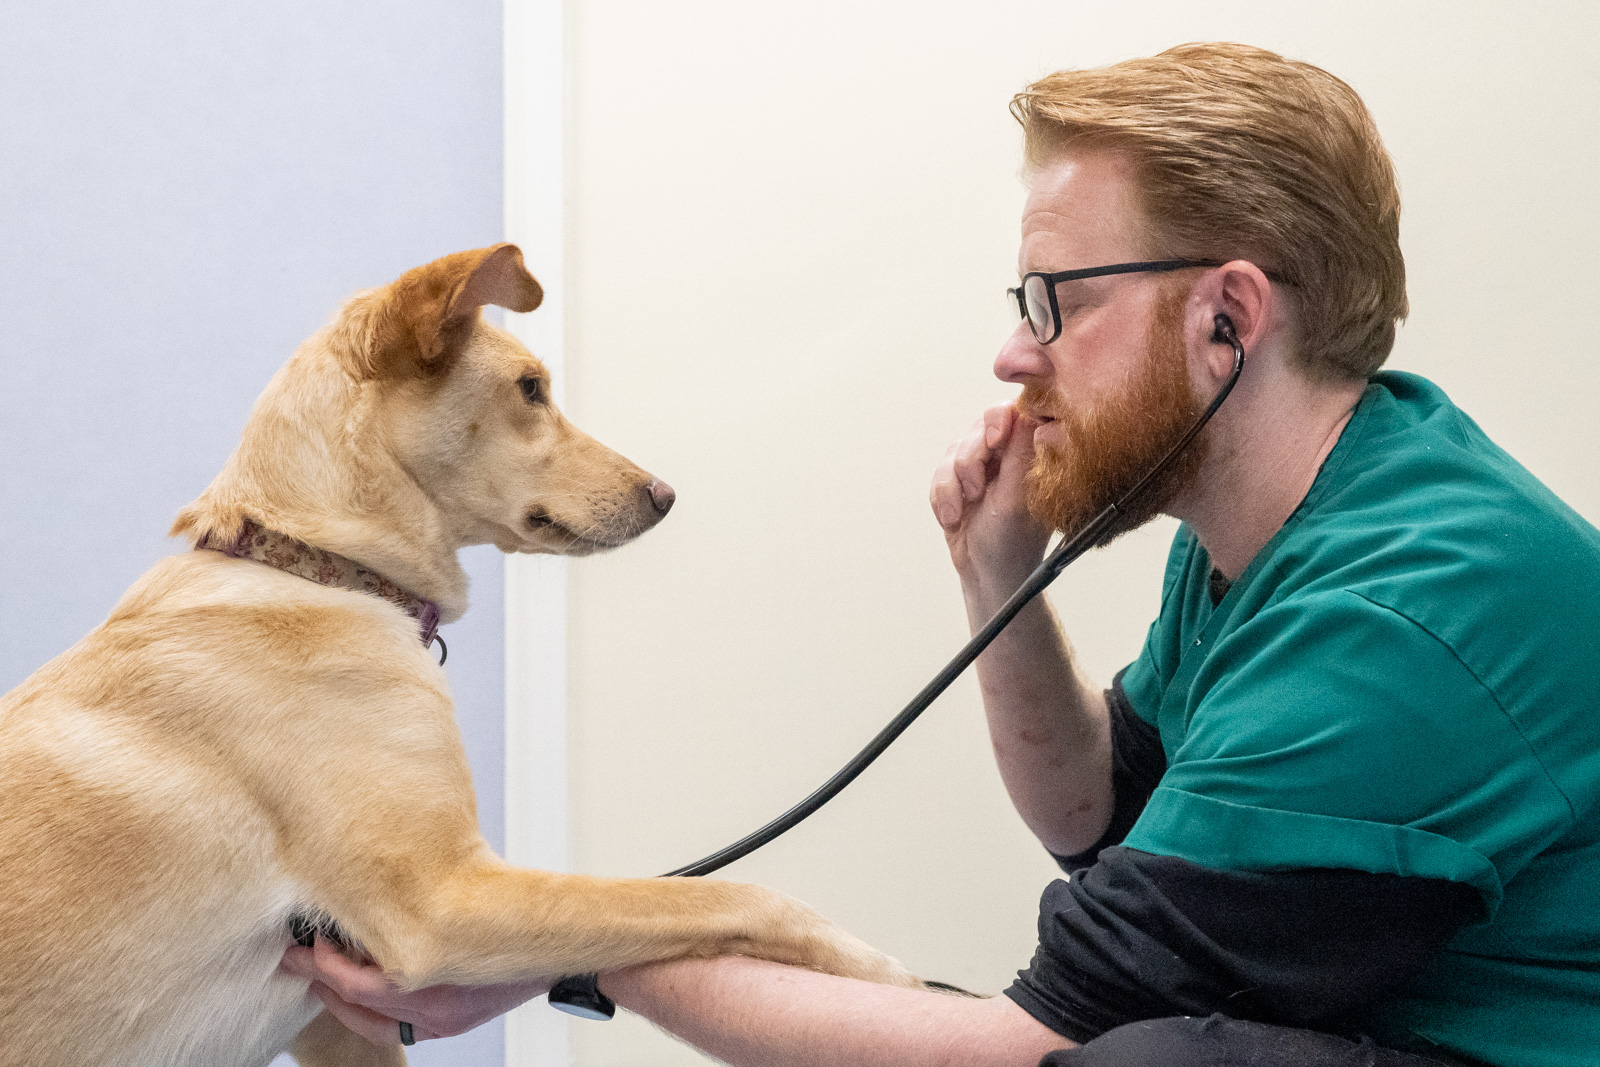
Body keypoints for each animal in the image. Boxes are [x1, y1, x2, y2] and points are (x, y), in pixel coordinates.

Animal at [0, 244, 915, 1067]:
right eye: (531, 389)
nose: (665, 495)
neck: (322, 567)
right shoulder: (443, 899)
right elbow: (724, 891)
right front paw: (879, 970)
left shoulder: (339, 1019)